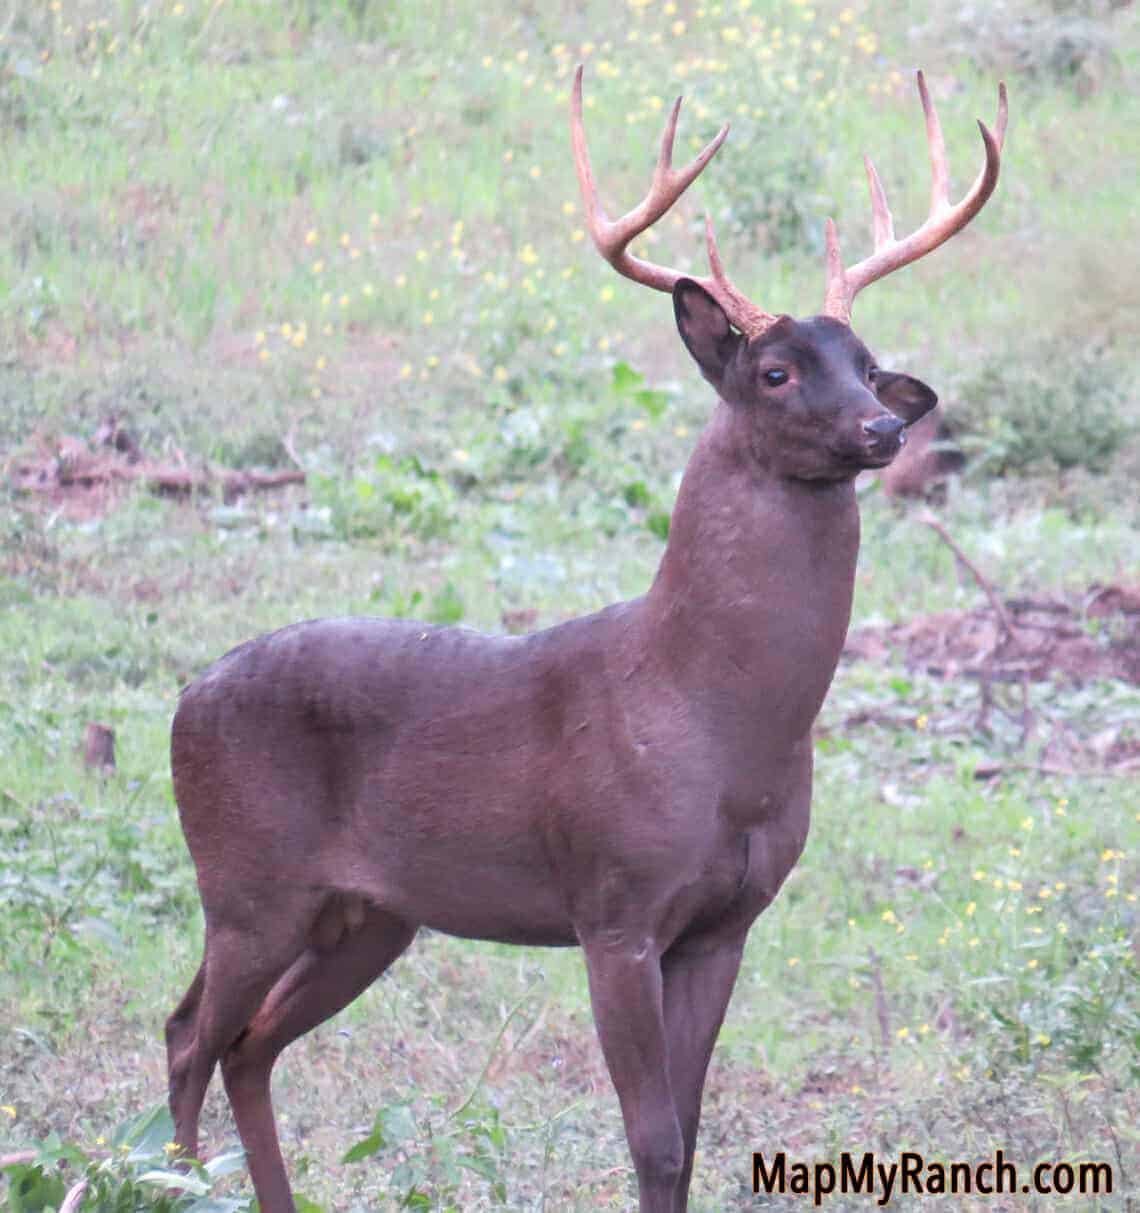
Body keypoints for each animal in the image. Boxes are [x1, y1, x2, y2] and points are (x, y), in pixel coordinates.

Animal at [162, 66, 1004, 1213]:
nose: (884, 429)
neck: (714, 717)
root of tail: (183, 697)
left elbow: (688, 1133)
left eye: (870, 366)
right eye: (776, 372)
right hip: (248, 882)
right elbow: (651, 1137)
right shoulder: (613, 905)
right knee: (187, 1036)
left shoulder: (725, 923)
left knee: (248, 1043)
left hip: (367, 914)